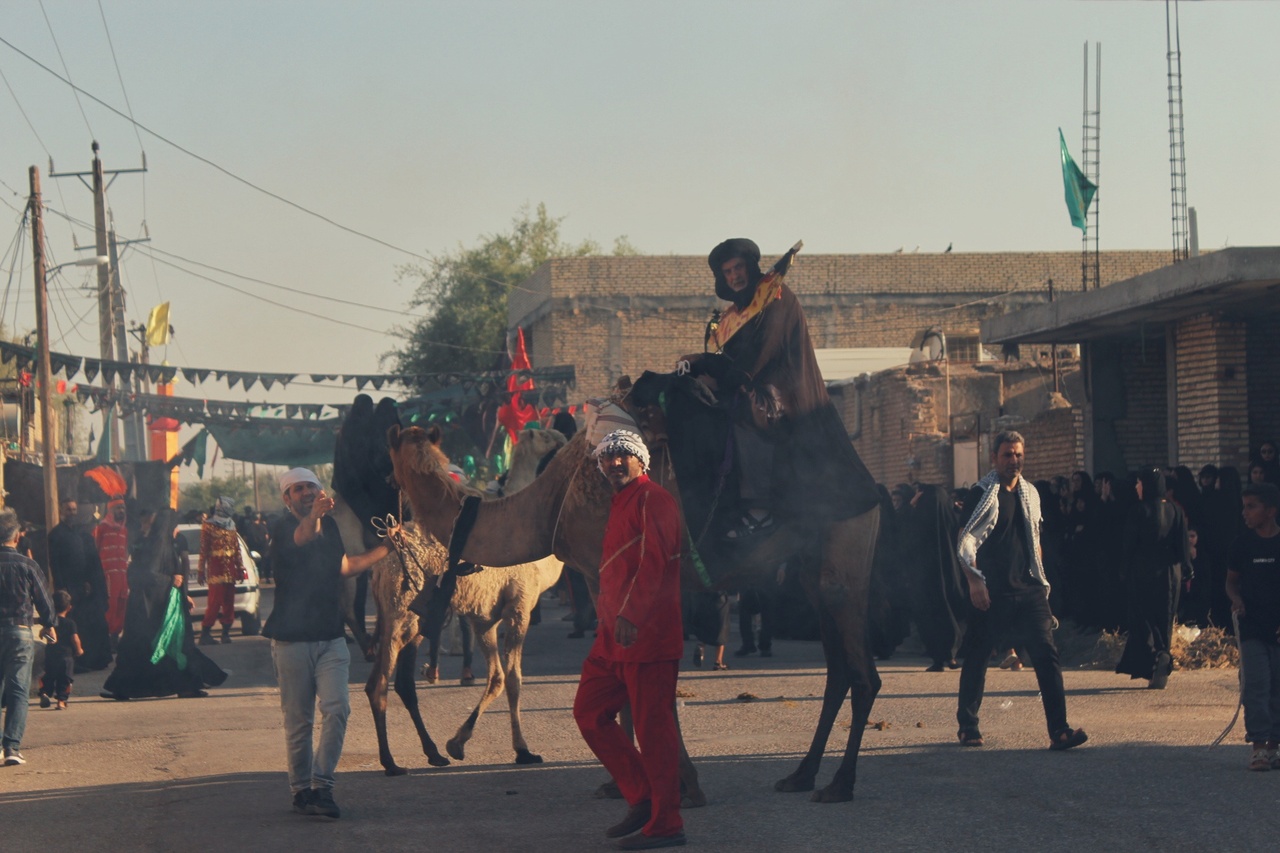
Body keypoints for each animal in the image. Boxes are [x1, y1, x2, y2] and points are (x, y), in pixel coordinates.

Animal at [384, 371, 885, 799]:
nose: (391, 507)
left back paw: (839, 785)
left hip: (845, 555)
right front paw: (630, 780)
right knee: (838, 670)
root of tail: (870, 483)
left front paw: (674, 783)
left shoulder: (614, 570)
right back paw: (801, 775)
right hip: (812, 569)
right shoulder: (596, 575)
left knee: (863, 673)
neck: (549, 503)